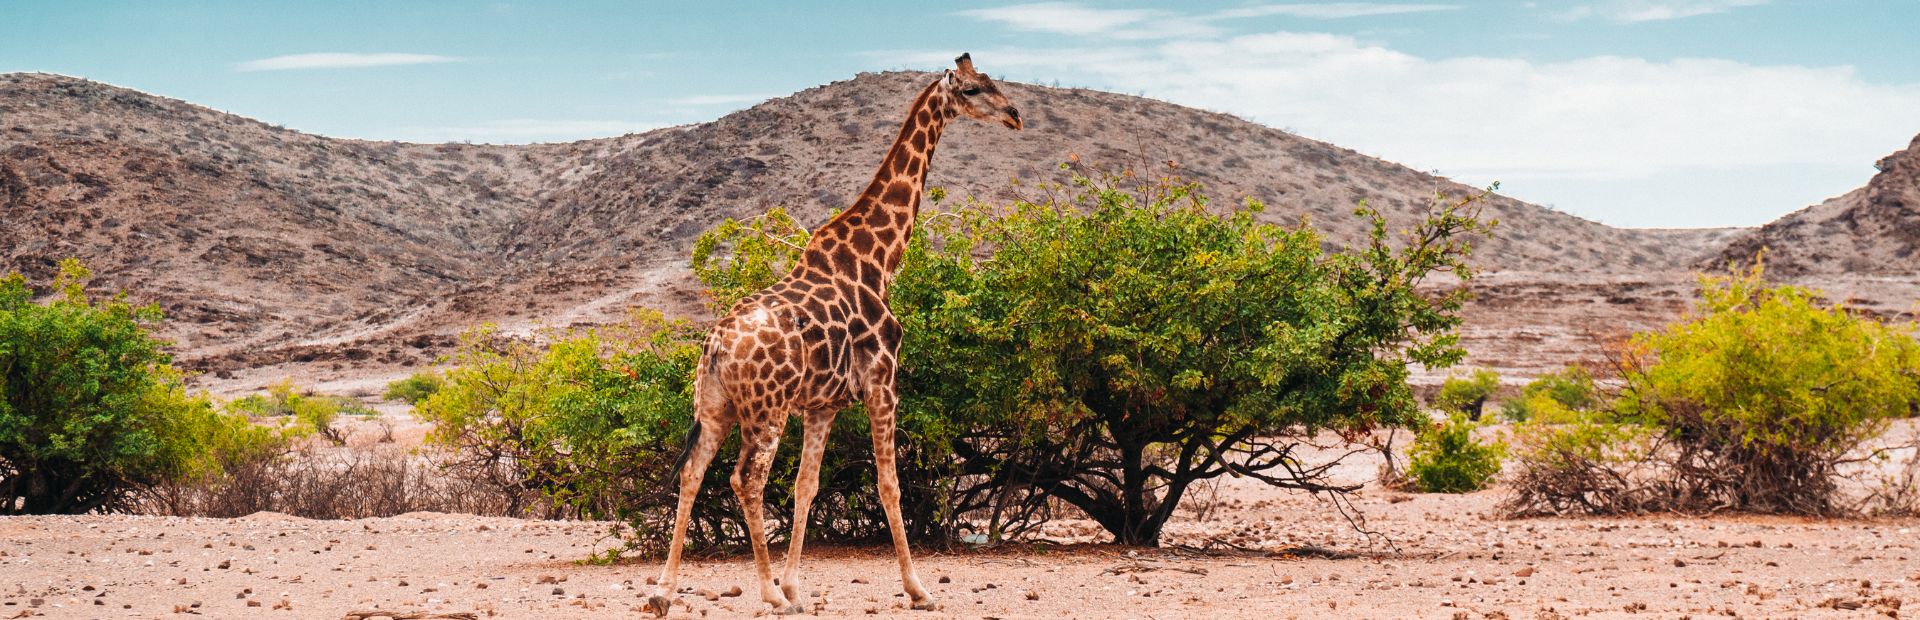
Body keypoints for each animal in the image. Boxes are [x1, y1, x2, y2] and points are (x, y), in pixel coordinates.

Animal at [646, 53, 1022, 617]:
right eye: (975, 90)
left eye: (994, 82)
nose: (1015, 115)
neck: (879, 259)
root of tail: (715, 347)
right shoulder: (883, 384)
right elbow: (889, 484)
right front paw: (918, 587)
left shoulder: (822, 404)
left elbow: (807, 485)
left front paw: (797, 586)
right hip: (767, 408)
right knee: (746, 479)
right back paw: (765, 592)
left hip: (716, 407)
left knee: (693, 473)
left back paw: (664, 592)